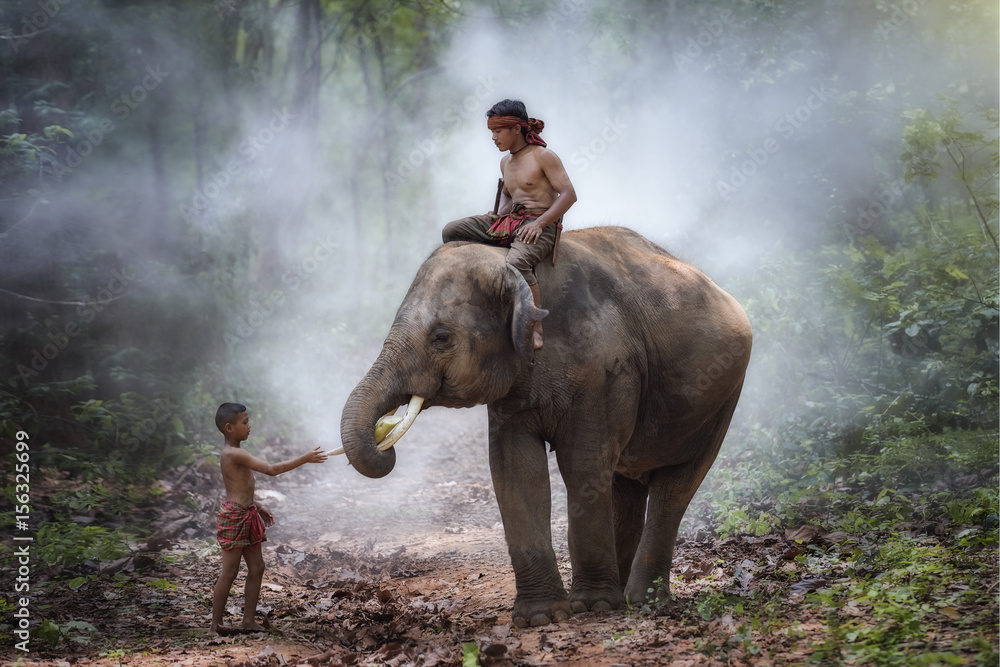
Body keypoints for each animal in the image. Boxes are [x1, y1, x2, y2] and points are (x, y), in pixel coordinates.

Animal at [340, 226, 752, 627]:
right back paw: (620, 596)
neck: (509, 265)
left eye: (441, 337)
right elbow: (515, 467)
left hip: (722, 398)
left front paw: (592, 608)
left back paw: (641, 603)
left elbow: (582, 463)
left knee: (675, 486)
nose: (384, 438)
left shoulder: (605, 370)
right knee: (625, 485)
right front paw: (540, 617)